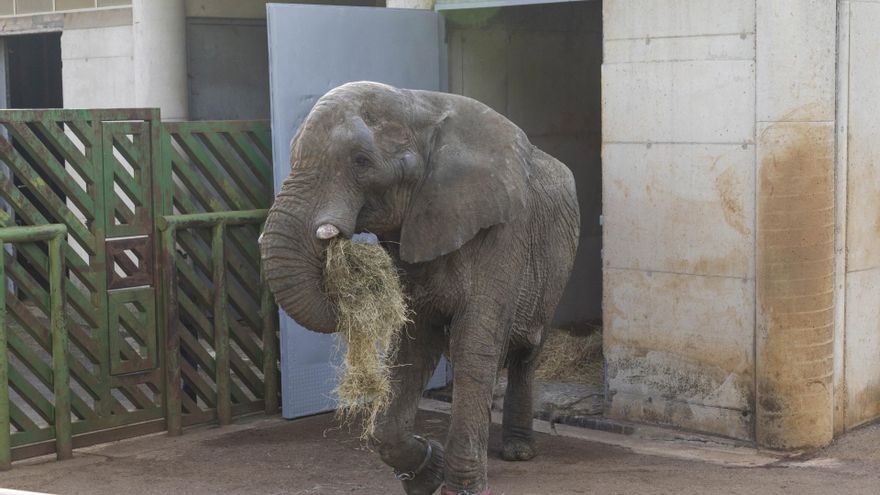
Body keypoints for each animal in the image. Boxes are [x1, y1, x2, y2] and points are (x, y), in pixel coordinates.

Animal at [261, 81, 580, 495]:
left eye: (361, 161)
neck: (419, 106)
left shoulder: (506, 230)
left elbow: (474, 342)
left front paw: (461, 488)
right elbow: (414, 340)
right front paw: (429, 474)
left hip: (555, 269)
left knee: (526, 351)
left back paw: (518, 452)